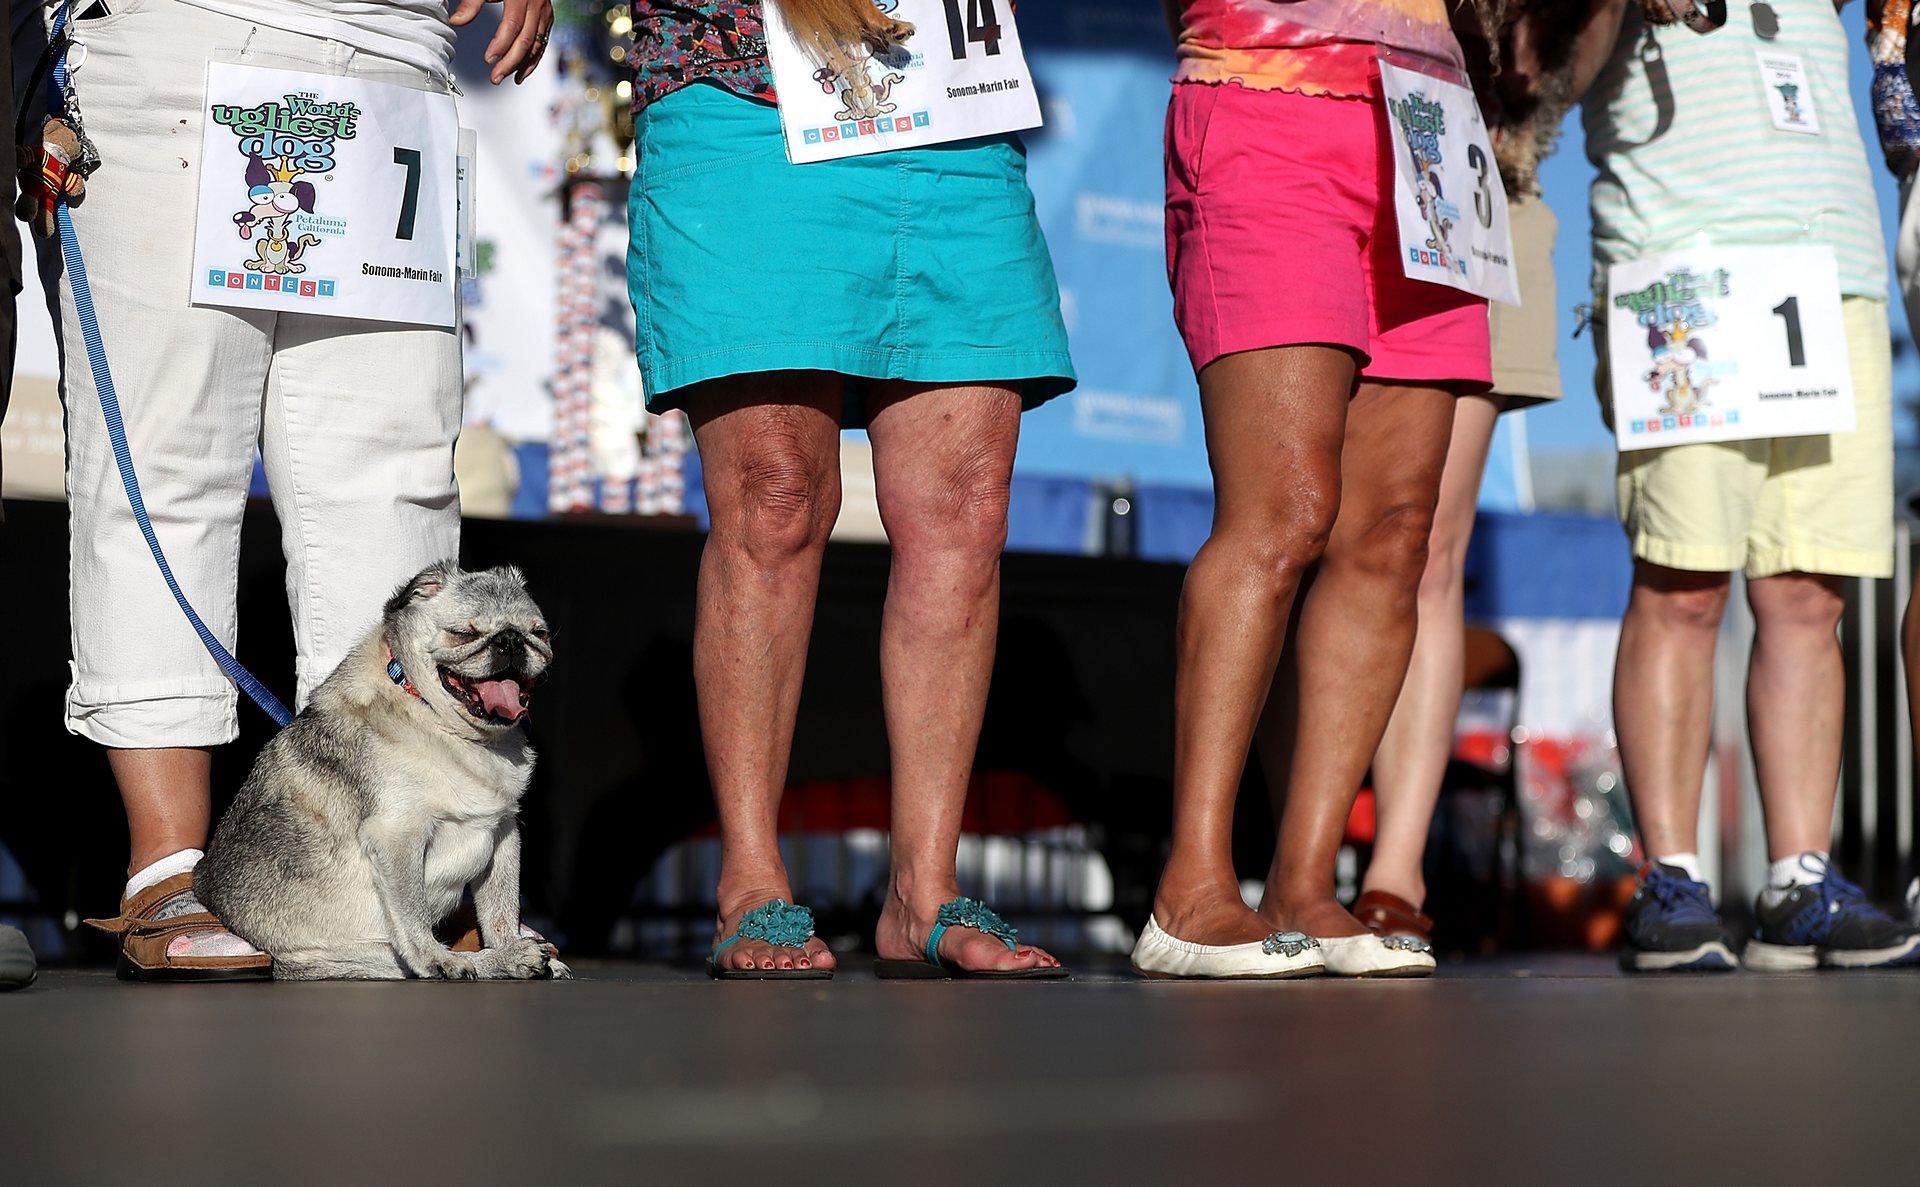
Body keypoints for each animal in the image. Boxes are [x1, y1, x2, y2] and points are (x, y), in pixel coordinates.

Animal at [197, 562, 568, 981]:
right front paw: (439, 958)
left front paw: (509, 943)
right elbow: (413, 912)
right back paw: (486, 960)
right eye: (464, 634)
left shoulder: (503, 832)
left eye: (538, 634)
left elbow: (501, 909)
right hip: (352, 954)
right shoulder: (398, 835)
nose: (511, 640)